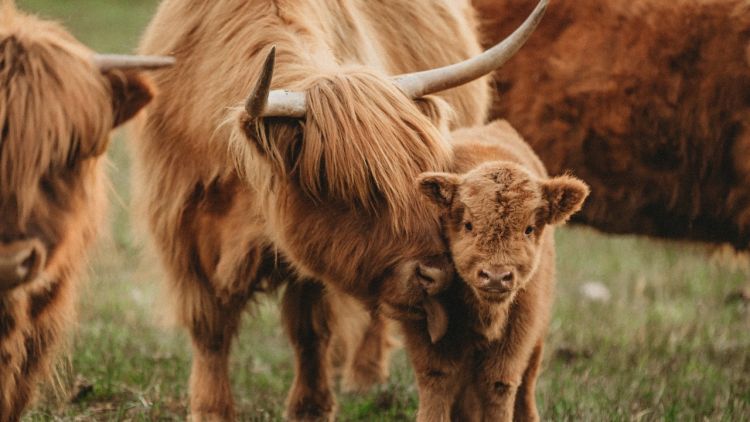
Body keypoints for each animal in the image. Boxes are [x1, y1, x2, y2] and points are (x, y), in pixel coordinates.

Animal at [134, 0, 547, 420]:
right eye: (355, 190)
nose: (437, 275)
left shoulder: (313, 255)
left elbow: (309, 328)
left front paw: (311, 406)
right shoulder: (182, 233)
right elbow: (210, 330)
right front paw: (210, 408)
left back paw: (364, 375)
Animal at [410, 120, 588, 421]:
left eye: (529, 229)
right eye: (468, 224)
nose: (495, 277)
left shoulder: (519, 333)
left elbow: (499, 386)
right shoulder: (427, 332)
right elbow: (437, 382)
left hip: (537, 339)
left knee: (526, 385)